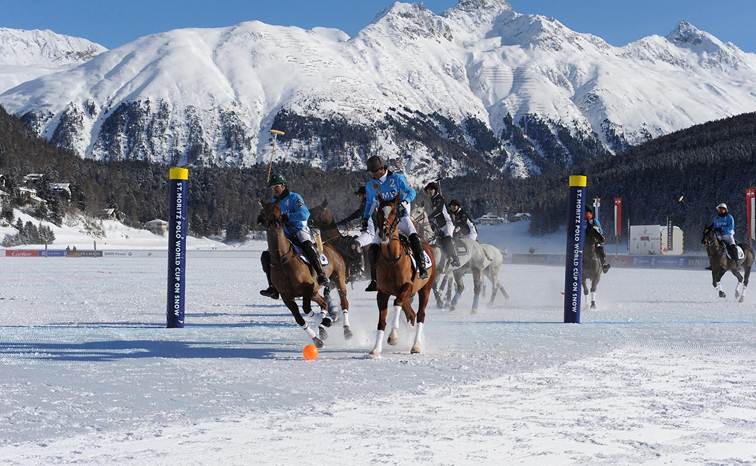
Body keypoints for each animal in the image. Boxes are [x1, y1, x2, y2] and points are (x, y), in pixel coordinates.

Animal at [258, 200, 352, 346]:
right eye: (265, 212)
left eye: (279, 210)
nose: (275, 223)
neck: (282, 259)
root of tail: (331, 246)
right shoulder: (287, 297)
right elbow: (300, 319)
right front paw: (317, 339)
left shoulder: (308, 287)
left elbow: (307, 309)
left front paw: (326, 320)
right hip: (315, 292)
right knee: (323, 302)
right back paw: (324, 327)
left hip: (338, 278)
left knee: (343, 303)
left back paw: (346, 330)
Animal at [368, 197, 434, 356]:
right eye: (379, 212)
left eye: (394, 212)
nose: (384, 234)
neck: (392, 259)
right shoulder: (382, 293)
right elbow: (382, 320)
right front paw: (376, 349)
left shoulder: (407, 286)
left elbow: (397, 303)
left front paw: (393, 337)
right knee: (411, 314)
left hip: (425, 290)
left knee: (420, 314)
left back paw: (416, 346)